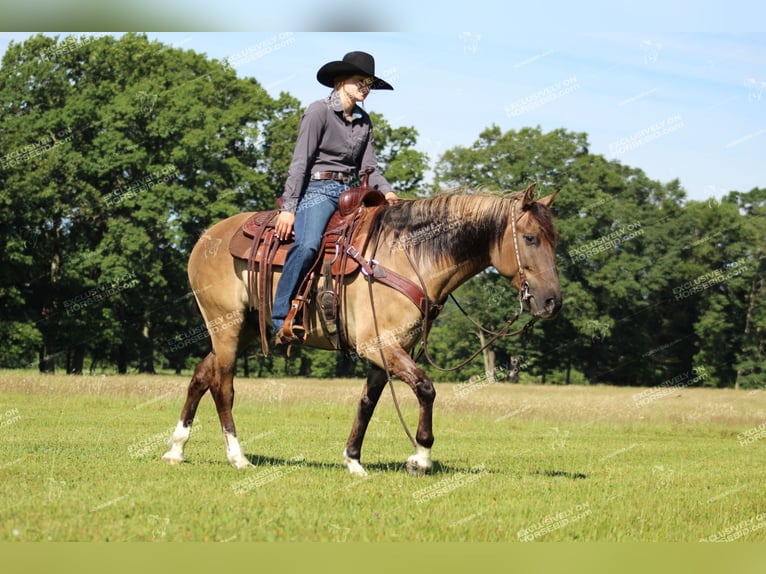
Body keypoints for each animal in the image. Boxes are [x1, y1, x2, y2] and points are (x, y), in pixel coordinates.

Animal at [162, 184, 560, 476]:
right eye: (530, 238)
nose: (552, 302)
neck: (410, 258)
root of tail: (207, 237)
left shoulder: (387, 351)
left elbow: (367, 402)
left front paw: (353, 459)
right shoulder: (379, 345)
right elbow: (426, 388)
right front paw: (420, 457)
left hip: (242, 328)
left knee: (202, 375)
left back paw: (177, 448)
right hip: (226, 325)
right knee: (223, 387)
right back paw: (237, 456)